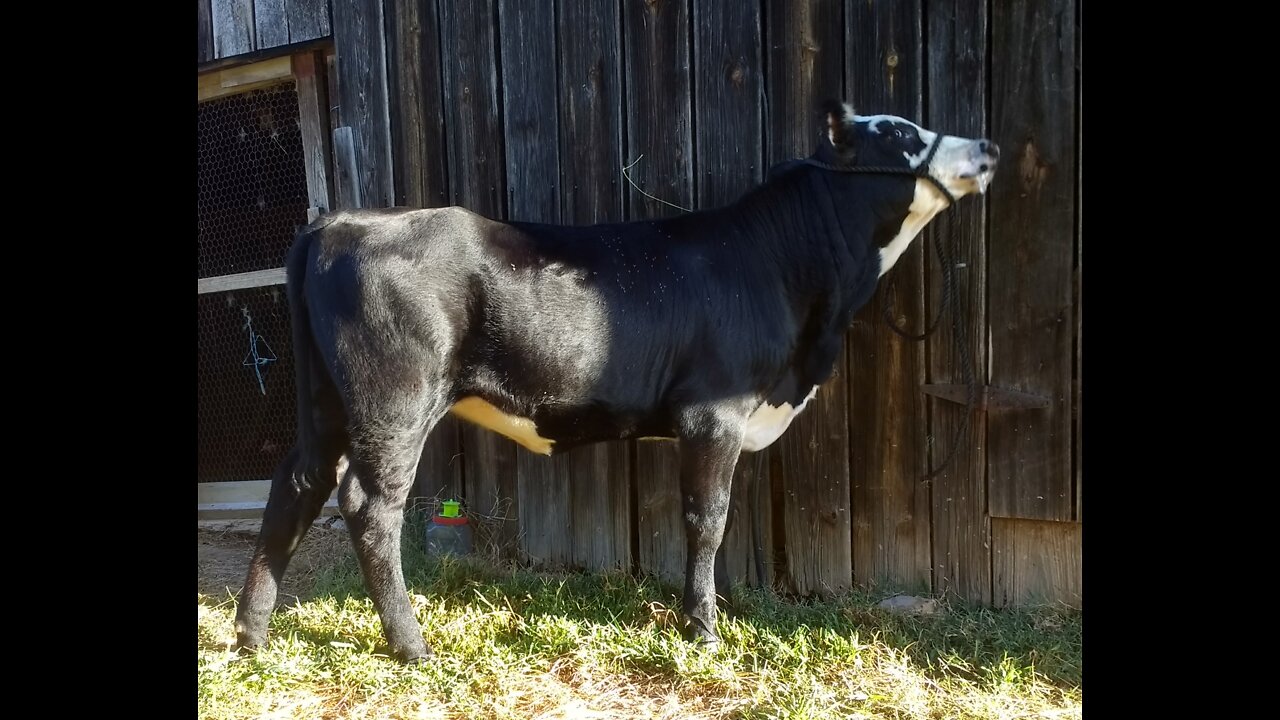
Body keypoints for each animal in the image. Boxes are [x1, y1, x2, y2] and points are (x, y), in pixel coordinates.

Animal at [232, 101, 998, 661]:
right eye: (900, 134)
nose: (988, 147)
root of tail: (339, 221)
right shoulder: (714, 412)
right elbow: (707, 522)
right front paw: (703, 629)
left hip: (326, 402)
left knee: (296, 486)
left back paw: (251, 636)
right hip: (394, 398)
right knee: (369, 506)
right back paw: (410, 645)